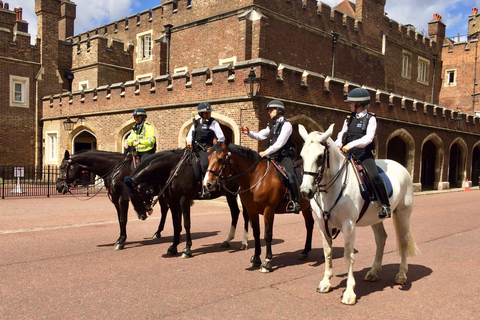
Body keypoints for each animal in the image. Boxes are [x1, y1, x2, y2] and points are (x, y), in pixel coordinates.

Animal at [204, 141, 316, 272]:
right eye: (208, 158)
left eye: (220, 159)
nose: (207, 184)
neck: (255, 178)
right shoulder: (252, 211)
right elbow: (256, 233)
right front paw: (256, 258)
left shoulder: (269, 210)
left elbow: (267, 235)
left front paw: (267, 261)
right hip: (306, 207)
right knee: (309, 224)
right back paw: (305, 251)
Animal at [298, 123, 418, 304]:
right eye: (302, 156)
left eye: (320, 156)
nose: (306, 191)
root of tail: (400, 166)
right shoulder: (322, 224)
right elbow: (327, 252)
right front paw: (325, 282)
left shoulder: (348, 225)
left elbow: (348, 256)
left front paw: (349, 292)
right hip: (376, 219)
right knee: (381, 239)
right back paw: (373, 272)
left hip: (403, 213)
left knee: (403, 241)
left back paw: (401, 275)